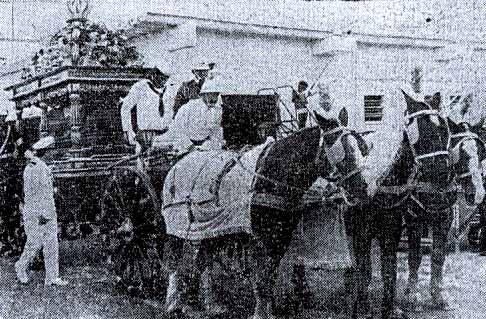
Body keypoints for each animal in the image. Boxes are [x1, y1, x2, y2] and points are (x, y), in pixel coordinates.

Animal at [162, 108, 372, 319]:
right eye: (341, 150)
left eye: (361, 147)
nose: (363, 189)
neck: (273, 175)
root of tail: (180, 161)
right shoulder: (260, 240)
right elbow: (262, 281)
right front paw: (260, 313)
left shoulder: (279, 239)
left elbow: (269, 279)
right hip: (176, 226)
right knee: (174, 261)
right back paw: (173, 303)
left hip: (209, 228)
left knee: (202, 262)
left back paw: (207, 303)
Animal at [402, 115, 486, 312]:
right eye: (461, 152)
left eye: (481, 152)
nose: (478, 194)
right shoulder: (414, 219)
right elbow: (414, 256)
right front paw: (411, 297)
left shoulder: (445, 219)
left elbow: (438, 255)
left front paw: (438, 297)